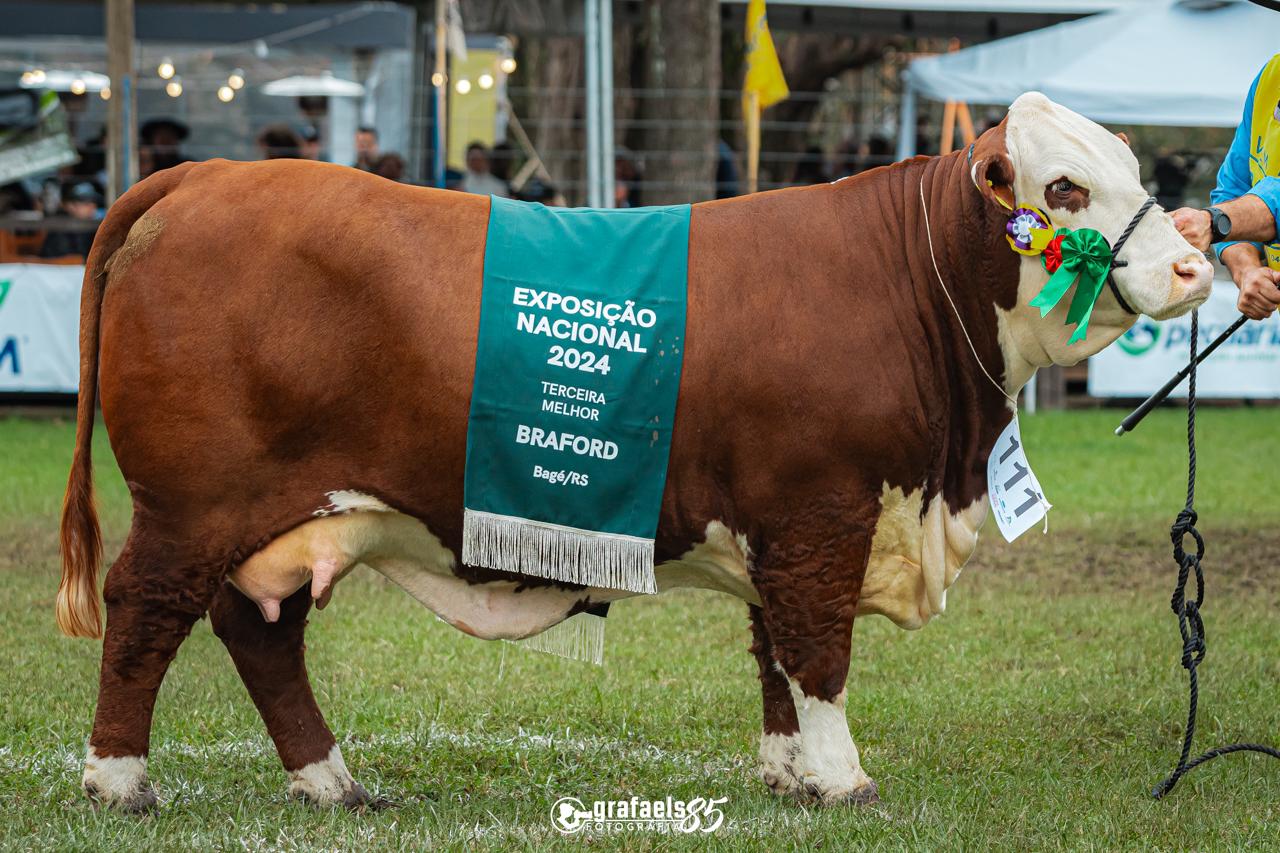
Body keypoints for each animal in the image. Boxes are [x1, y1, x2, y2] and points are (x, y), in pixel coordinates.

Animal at [57, 93, 1212, 812]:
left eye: (1133, 167)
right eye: (1062, 189)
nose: (1196, 264)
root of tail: (202, 175)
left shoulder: (779, 521)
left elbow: (774, 649)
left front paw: (788, 771)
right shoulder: (822, 510)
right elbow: (819, 650)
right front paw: (842, 778)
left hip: (284, 515)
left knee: (261, 633)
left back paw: (331, 781)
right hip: (192, 505)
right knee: (147, 611)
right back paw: (119, 780)